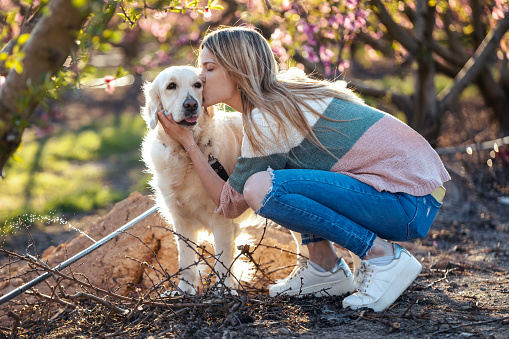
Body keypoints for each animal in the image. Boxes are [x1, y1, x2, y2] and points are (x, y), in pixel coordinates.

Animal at [140, 65, 247, 294]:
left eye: (197, 85)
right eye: (171, 86)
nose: (191, 104)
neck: (186, 155)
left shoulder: (222, 219)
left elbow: (222, 262)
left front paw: (224, 292)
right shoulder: (181, 220)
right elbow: (186, 261)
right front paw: (184, 291)